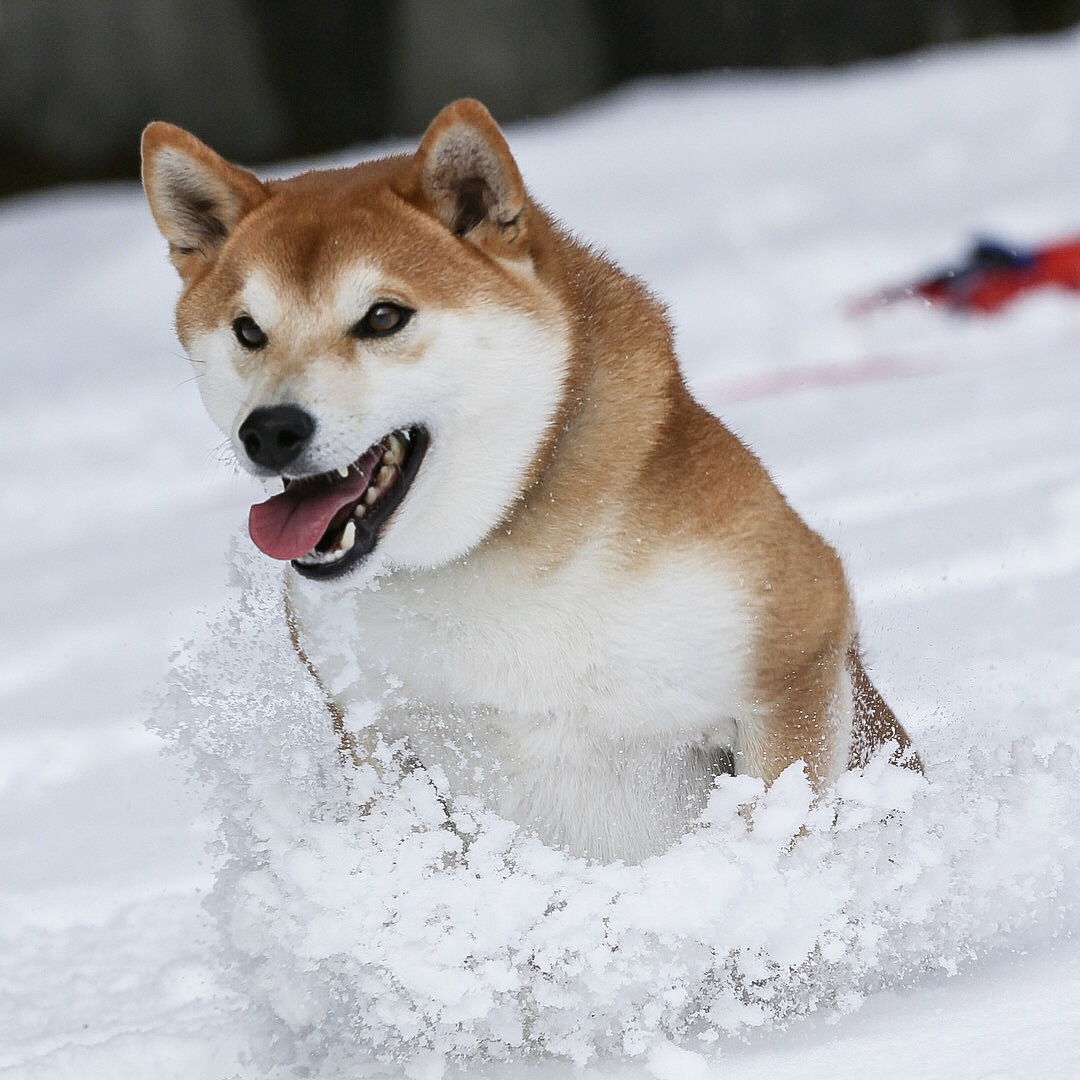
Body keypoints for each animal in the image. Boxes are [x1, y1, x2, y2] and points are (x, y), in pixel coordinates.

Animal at [141, 99, 920, 859]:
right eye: (248, 330)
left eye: (384, 316)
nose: (270, 430)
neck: (500, 539)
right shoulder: (372, 727)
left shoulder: (794, 653)